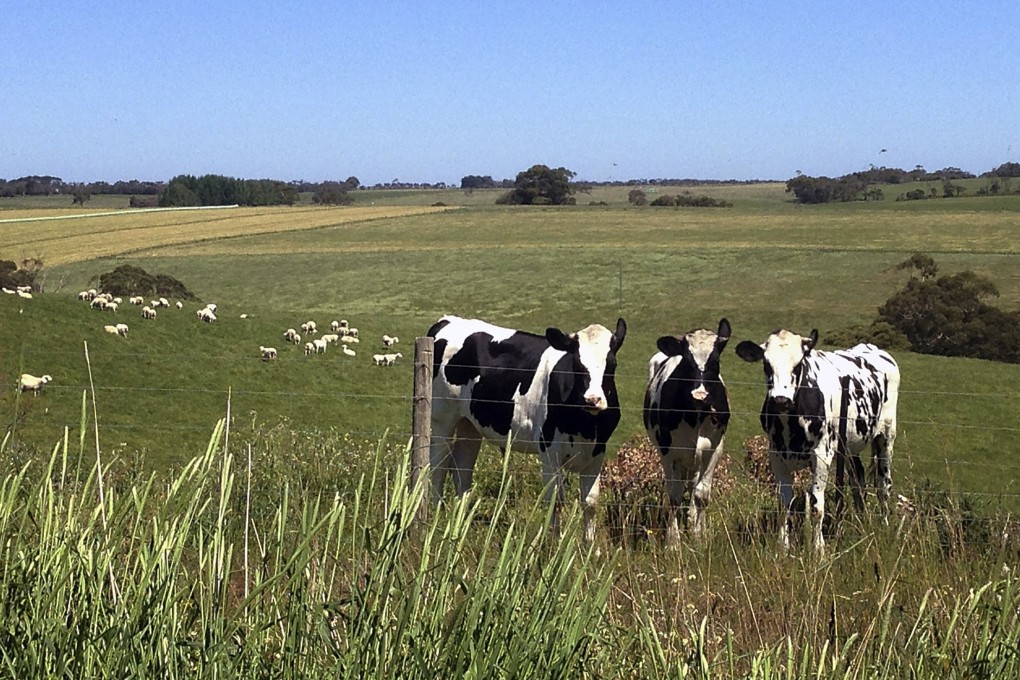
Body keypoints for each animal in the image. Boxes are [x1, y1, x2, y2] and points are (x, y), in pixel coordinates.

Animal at [427, 314, 627, 542]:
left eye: (612, 364)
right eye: (576, 363)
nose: (592, 400)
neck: (584, 425)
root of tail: (448, 320)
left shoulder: (597, 452)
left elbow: (590, 502)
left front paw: (590, 547)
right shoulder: (549, 451)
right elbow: (555, 501)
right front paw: (555, 544)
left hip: (469, 425)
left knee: (462, 468)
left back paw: (462, 519)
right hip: (442, 417)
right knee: (438, 466)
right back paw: (437, 516)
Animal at [643, 318, 731, 545]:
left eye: (715, 360)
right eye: (687, 361)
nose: (699, 394)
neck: (695, 417)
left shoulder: (714, 449)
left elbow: (702, 494)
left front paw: (699, 536)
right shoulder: (667, 451)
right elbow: (674, 495)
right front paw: (673, 541)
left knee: (693, 486)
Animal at [735, 329, 900, 552]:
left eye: (798, 364)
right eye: (766, 364)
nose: (780, 400)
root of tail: (873, 348)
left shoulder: (822, 455)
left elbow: (816, 505)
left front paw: (818, 549)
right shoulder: (776, 455)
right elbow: (784, 503)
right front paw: (783, 547)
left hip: (886, 437)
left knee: (884, 485)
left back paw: (884, 527)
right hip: (850, 445)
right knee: (859, 481)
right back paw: (861, 524)